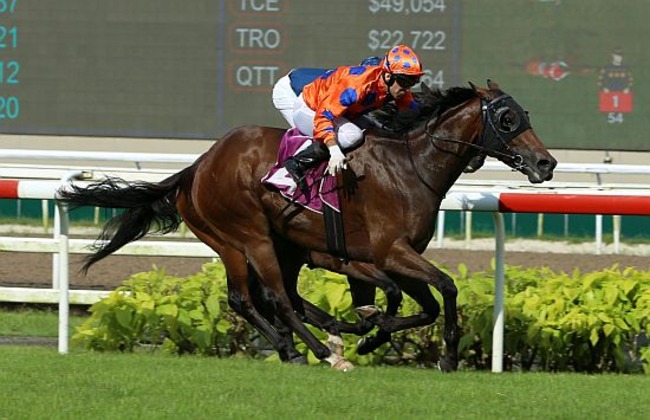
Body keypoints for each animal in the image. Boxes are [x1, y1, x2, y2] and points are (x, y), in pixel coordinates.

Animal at [57, 80, 552, 370]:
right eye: (507, 118)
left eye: (526, 114)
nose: (546, 163)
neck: (412, 167)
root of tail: (198, 166)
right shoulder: (390, 251)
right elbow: (444, 288)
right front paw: (445, 353)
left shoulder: (391, 257)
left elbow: (421, 303)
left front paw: (371, 335)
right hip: (248, 237)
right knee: (270, 297)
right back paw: (309, 349)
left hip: (267, 245)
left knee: (262, 298)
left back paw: (303, 342)